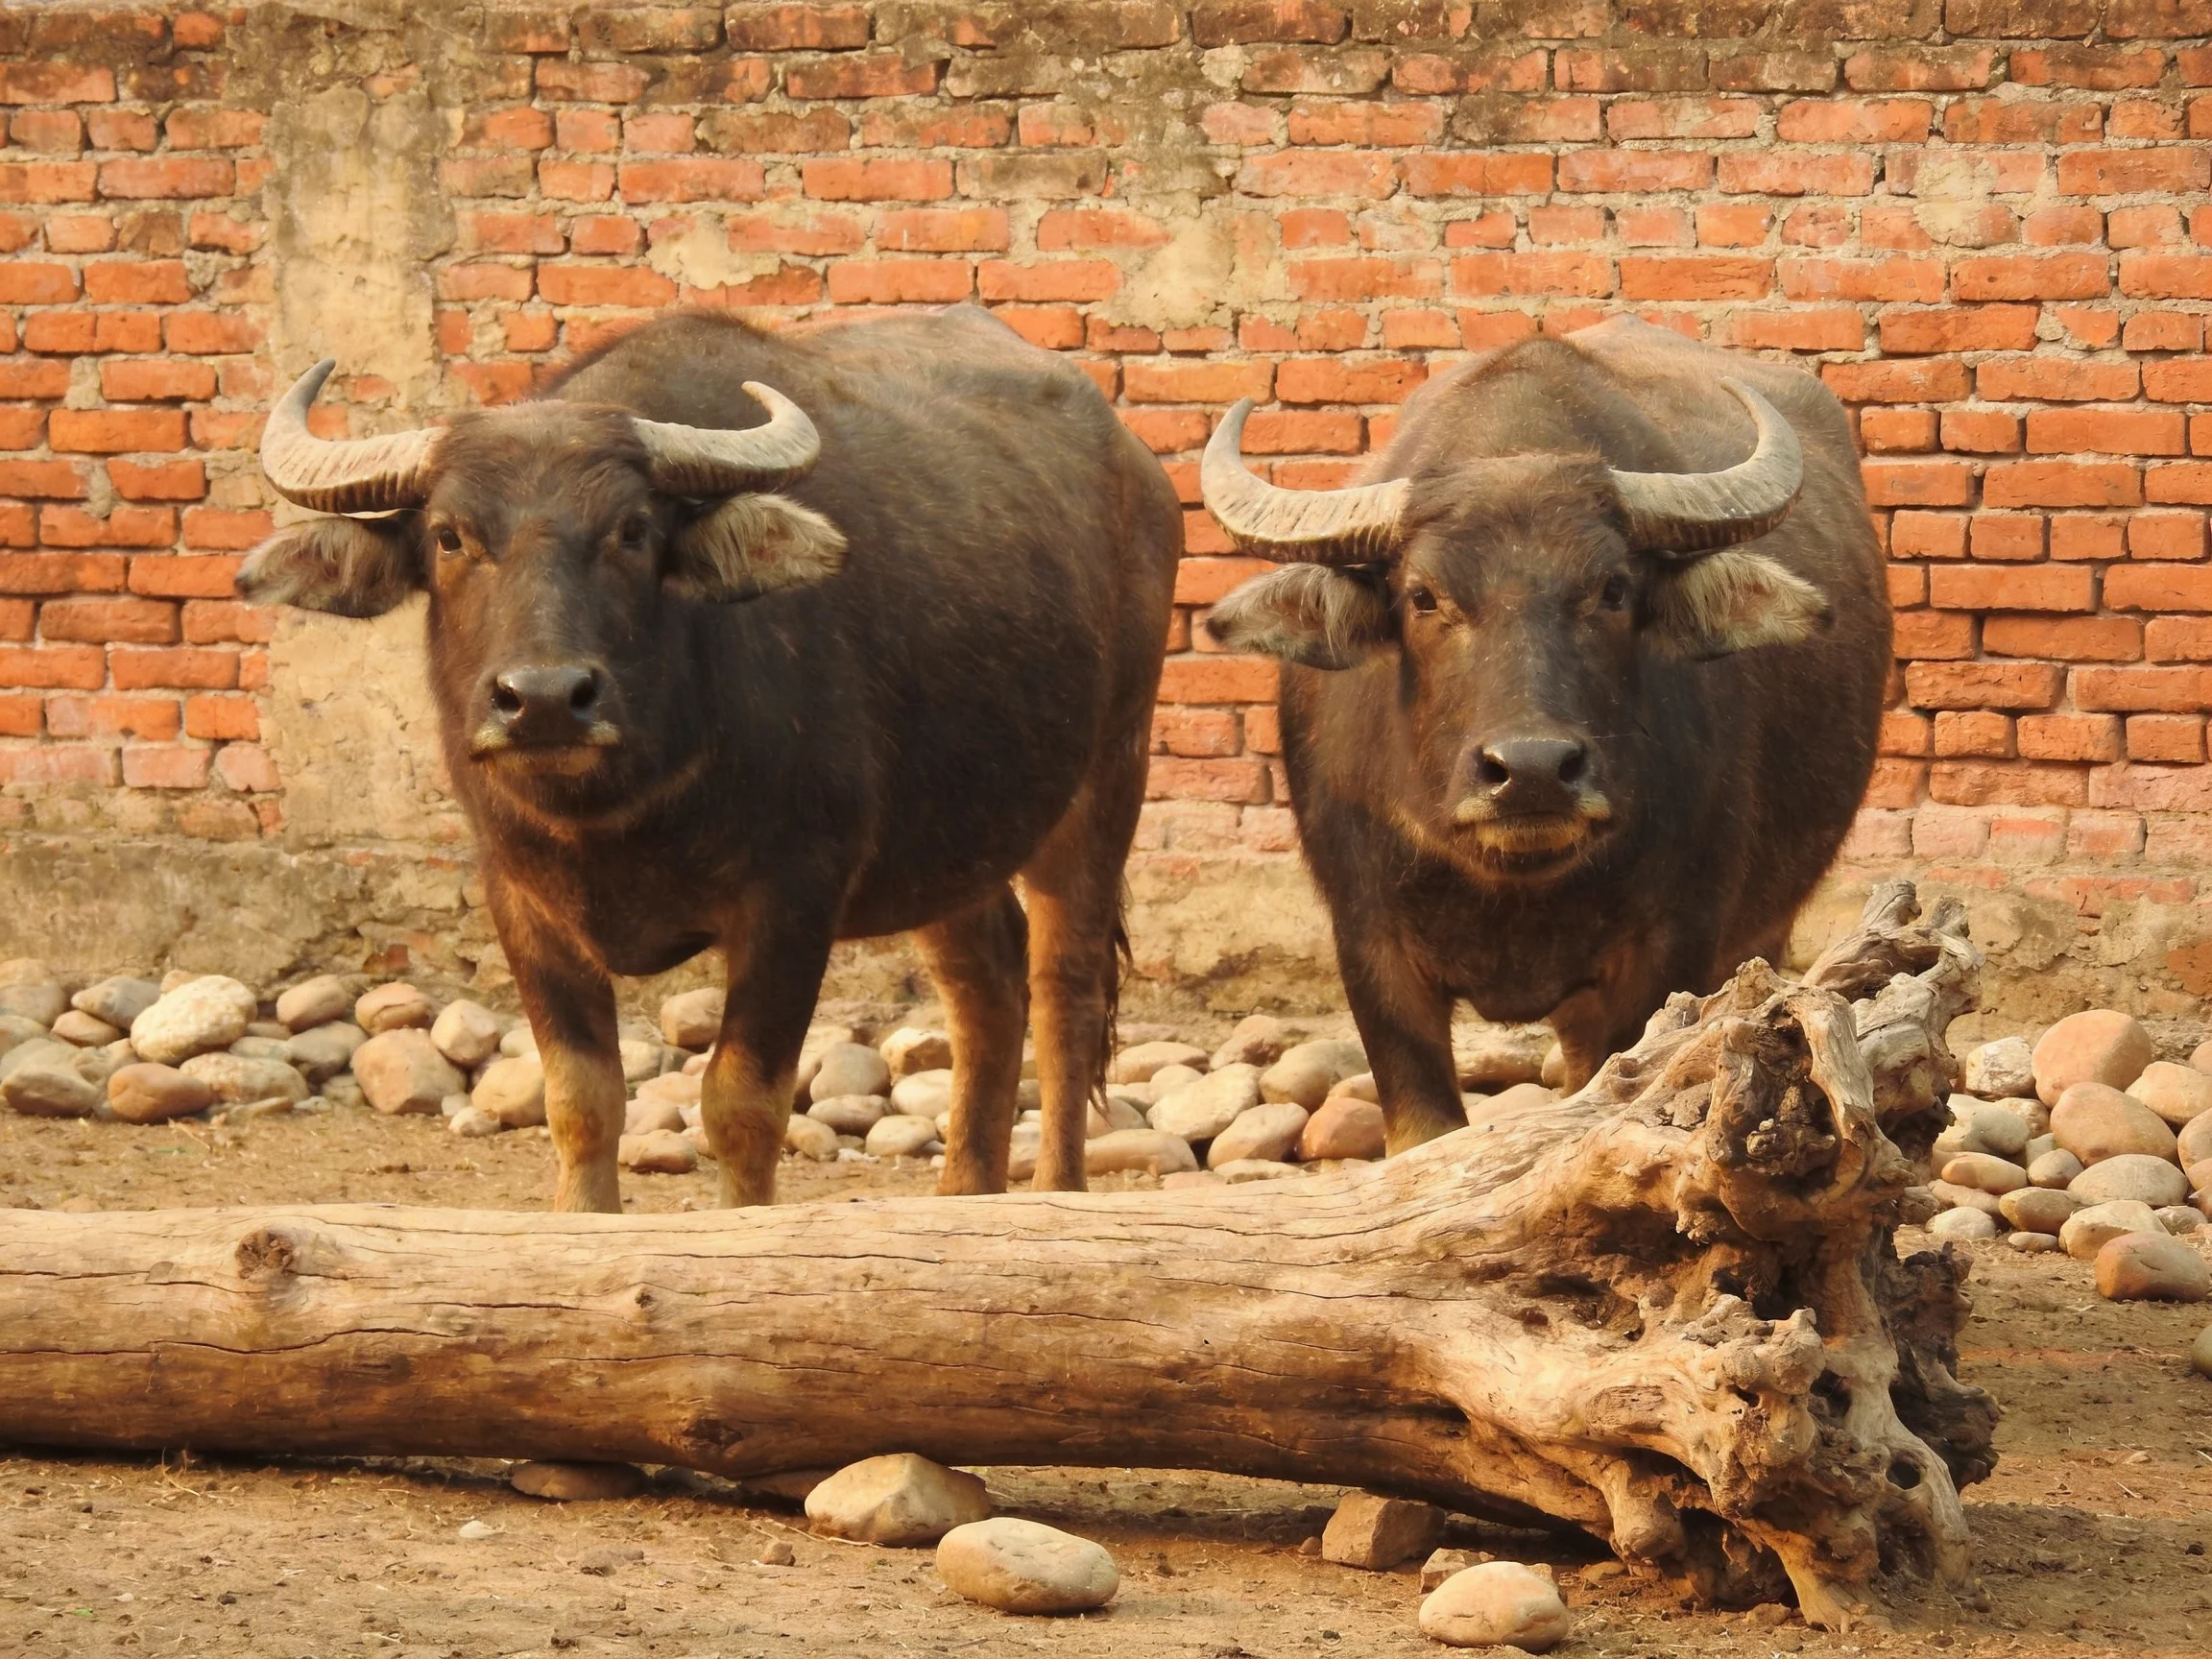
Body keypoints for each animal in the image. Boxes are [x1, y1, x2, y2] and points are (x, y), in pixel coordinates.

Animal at [241, 307, 1180, 1210]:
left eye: (631, 531)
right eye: (447, 536)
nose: (543, 698)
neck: (622, 800)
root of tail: (1140, 471)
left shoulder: (794, 899)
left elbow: (742, 1103)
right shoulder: (520, 899)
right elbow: (580, 1101)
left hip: (1110, 771)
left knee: (1064, 987)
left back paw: (1055, 1190)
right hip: (951, 836)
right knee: (986, 983)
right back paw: (964, 1196)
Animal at [1201, 316, 1890, 1151]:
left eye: (1614, 590)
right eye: (1422, 597)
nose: (1531, 770)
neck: (1512, 885)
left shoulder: (1671, 948)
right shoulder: (1369, 949)